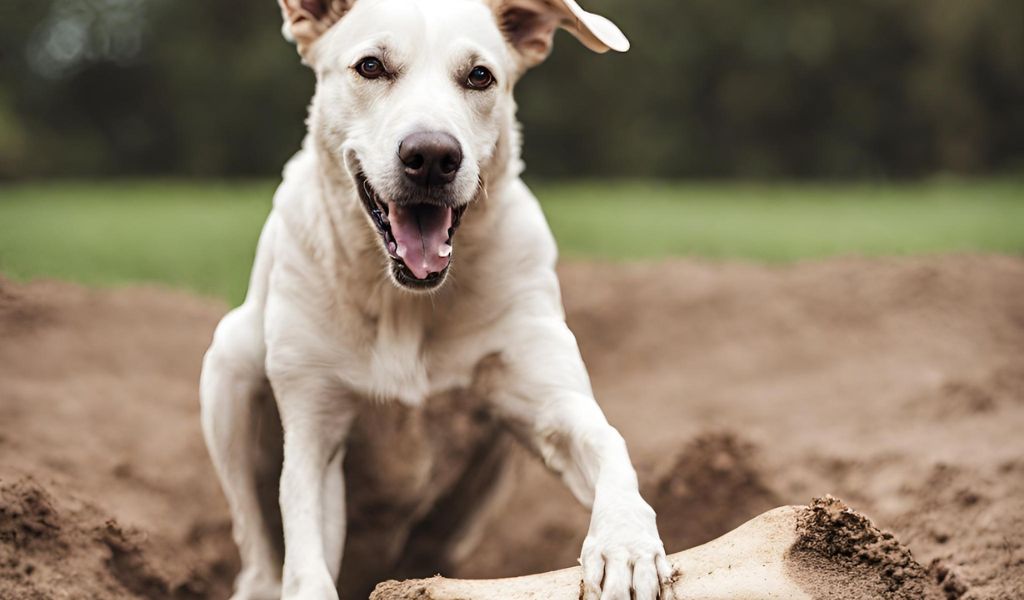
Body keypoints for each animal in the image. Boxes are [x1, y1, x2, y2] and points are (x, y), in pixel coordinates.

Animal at [199, 0, 671, 593]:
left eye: (480, 76)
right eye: (371, 66)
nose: (431, 154)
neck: (406, 302)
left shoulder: (550, 399)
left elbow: (608, 441)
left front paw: (625, 543)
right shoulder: (313, 421)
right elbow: (302, 539)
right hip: (229, 364)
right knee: (257, 548)